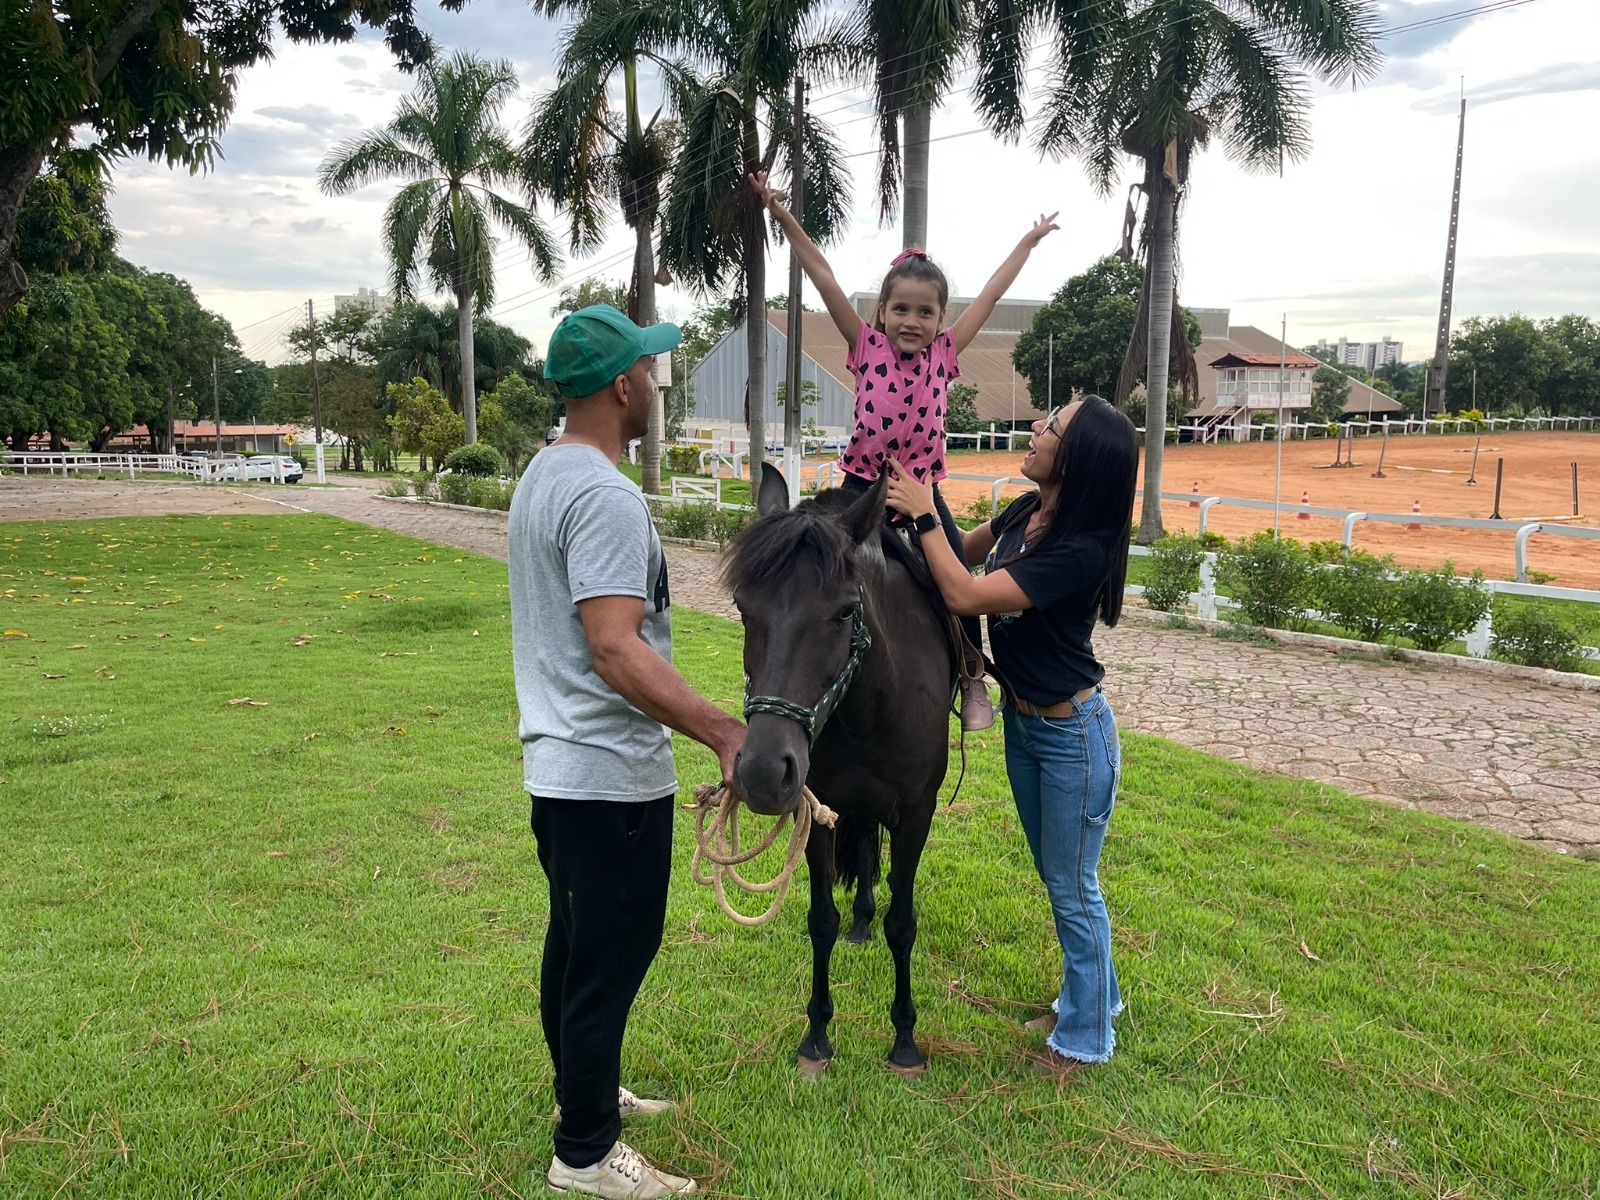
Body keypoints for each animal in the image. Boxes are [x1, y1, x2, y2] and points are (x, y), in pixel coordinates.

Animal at [732, 467, 953, 1068]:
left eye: (845, 611)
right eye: (742, 607)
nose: (763, 772)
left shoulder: (916, 814)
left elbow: (903, 923)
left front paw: (905, 1038)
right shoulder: (819, 811)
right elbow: (821, 920)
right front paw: (817, 1033)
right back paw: (860, 919)